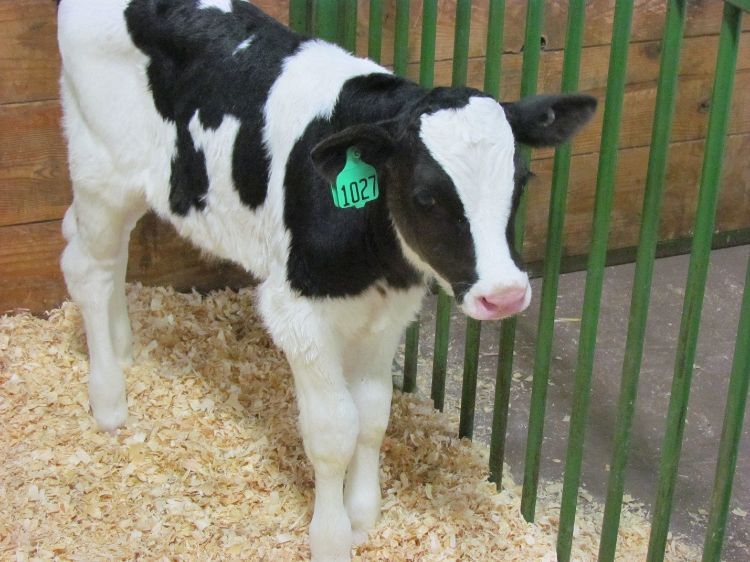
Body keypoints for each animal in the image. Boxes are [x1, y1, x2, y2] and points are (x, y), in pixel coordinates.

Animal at [57, 2, 600, 556]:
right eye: (426, 196)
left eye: (522, 181)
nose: (505, 294)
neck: (376, 259)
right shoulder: (297, 314)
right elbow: (334, 431)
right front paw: (332, 537)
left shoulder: (386, 313)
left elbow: (374, 415)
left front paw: (363, 514)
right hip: (98, 167)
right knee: (87, 267)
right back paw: (109, 398)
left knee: (109, 253)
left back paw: (123, 347)